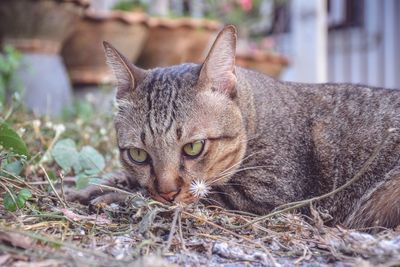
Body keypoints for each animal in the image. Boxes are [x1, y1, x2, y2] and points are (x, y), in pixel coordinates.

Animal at [67, 25, 398, 230]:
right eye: (138, 154)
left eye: (193, 147)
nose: (167, 191)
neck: (256, 118)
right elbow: (126, 179)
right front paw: (94, 186)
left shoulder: (266, 194)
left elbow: (183, 197)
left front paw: (114, 195)